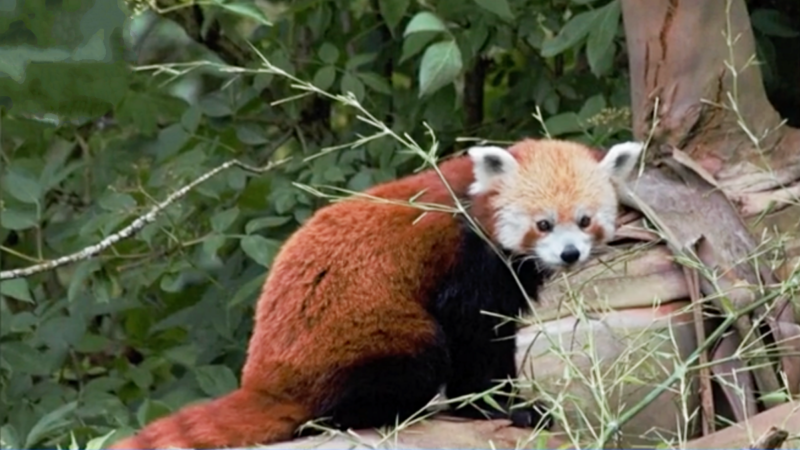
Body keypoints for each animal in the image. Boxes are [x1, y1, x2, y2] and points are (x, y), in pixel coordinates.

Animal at [108, 138, 644, 450]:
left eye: (585, 220)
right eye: (543, 224)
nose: (570, 254)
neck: (472, 200)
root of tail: (264, 378)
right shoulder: (469, 261)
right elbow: (473, 335)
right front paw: (502, 408)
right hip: (370, 339)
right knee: (418, 360)